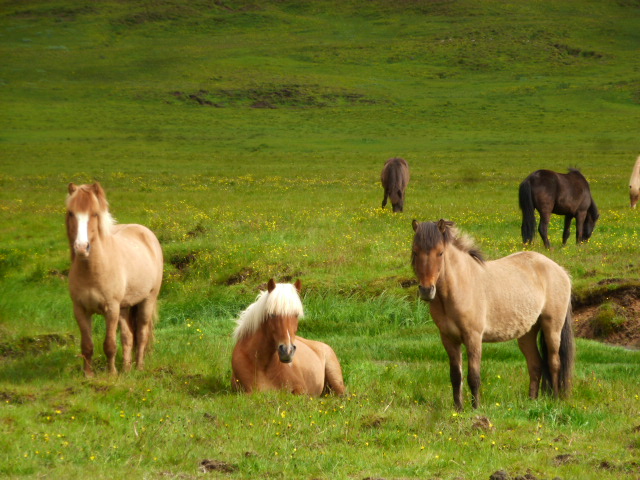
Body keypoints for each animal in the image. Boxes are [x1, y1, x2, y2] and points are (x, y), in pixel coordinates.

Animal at [65, 183, 162, 376]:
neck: (93, 270)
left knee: (141, 334)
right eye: (71, 213)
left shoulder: (111, 309)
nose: (81, 248)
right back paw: (126, 368)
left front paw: (111, 374)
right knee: (128, 337)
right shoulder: (80, 310)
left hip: (147, 301)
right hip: (124, 308)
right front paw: (88, 375)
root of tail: (146, 232)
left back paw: (139, 367)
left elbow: (109, 344)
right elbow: (87, 345)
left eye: (94, 213)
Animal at [412, 219, 576, 410]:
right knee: (535, 364)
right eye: (415, 251)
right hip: (527, 333)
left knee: (554, 363)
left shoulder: (473, 337)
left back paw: (555, 400)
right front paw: (458, 409)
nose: (426, 290)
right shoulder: (449, 339)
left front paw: (475, 408)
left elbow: (473, 376)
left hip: (552, 328)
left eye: (440, 253)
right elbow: (456, 376)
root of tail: (561, 271)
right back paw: (531, 402)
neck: (460, 285)